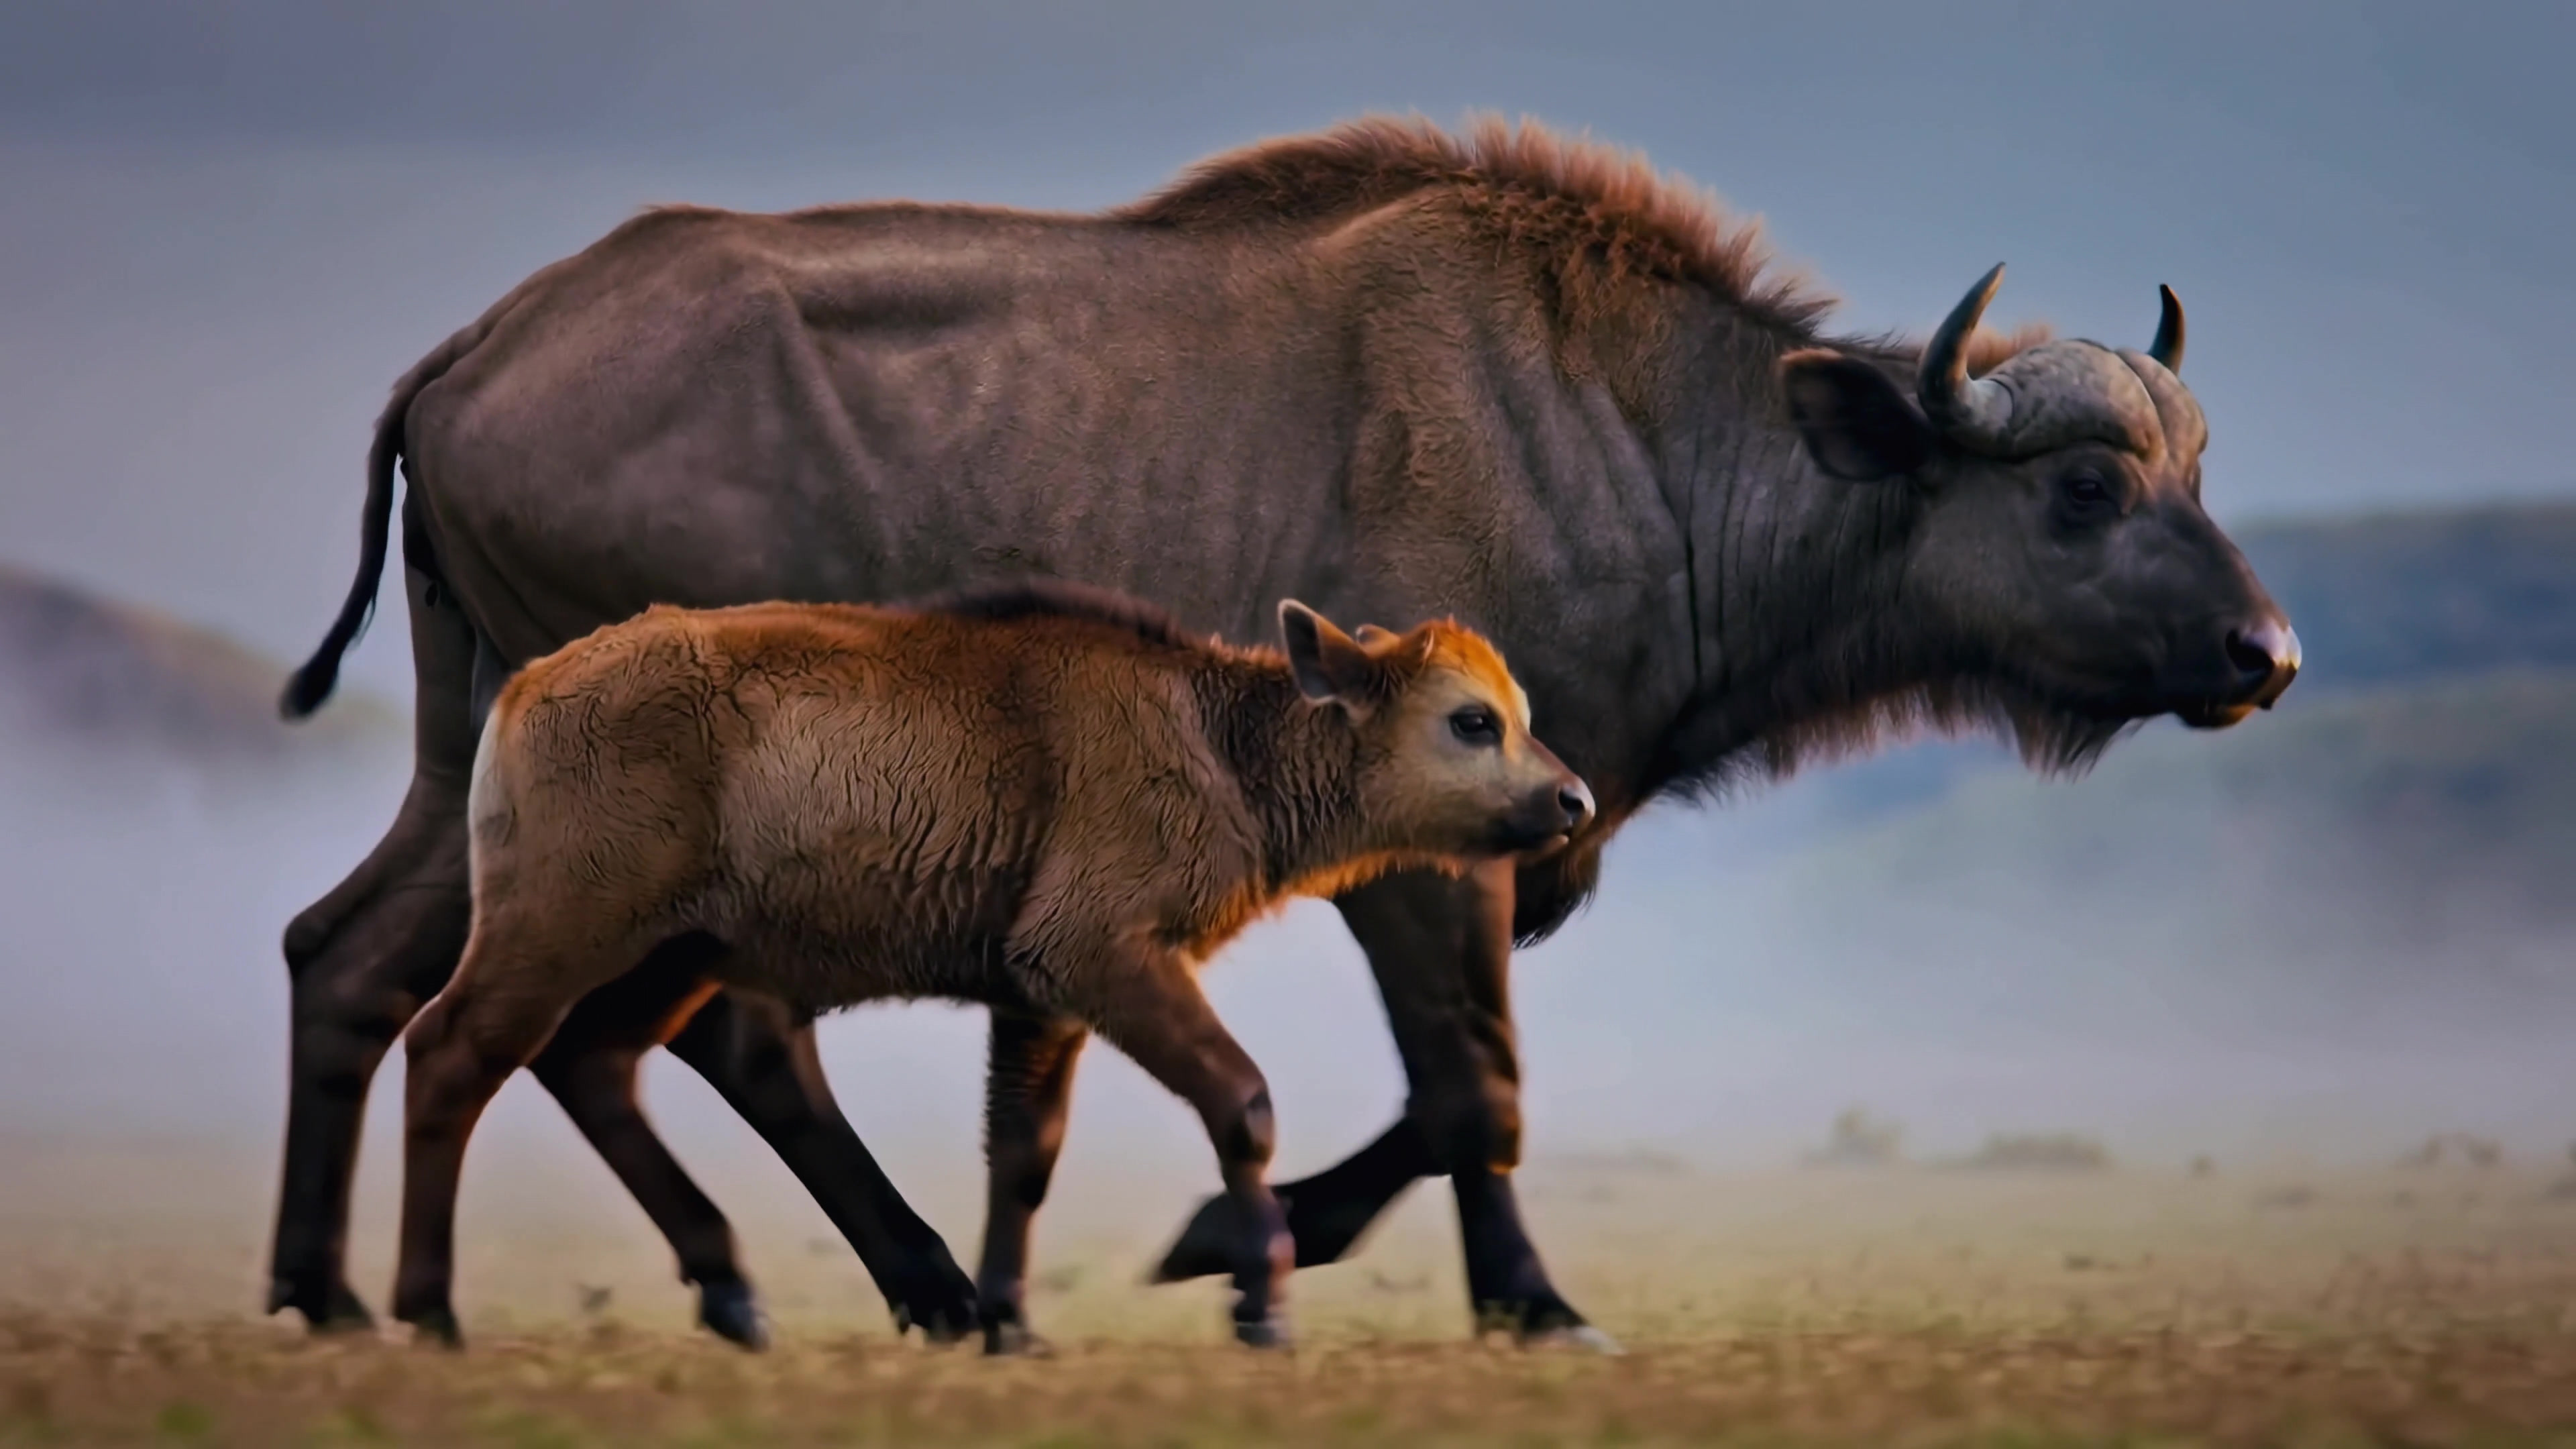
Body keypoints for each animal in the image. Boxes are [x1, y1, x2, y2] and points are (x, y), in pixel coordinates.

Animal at [390, 585, 1592, 1351]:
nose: (1573, 799)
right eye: (1471, 721)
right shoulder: (1100, 955)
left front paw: (1010, 1323)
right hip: (561, 930)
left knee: (591, 1066)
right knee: (452, 1053)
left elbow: (1023, 1151)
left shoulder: (1038, 995)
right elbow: (1242, 1101)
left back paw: (735, 1297)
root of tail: (526, 691)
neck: (1214, 738)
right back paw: (430, 1312)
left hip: (671, 955)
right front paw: (1262, 1308)